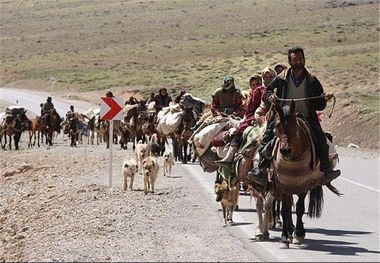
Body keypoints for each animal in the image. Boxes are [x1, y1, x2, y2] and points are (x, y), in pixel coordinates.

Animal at [270, 100, 342, 249]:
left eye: (295, 125)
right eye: (277, 125)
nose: (285, 151)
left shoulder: (304, 184)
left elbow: (299, 208)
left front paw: (299, 233)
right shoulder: (283, 184)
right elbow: (285, 209)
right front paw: (285, 237)